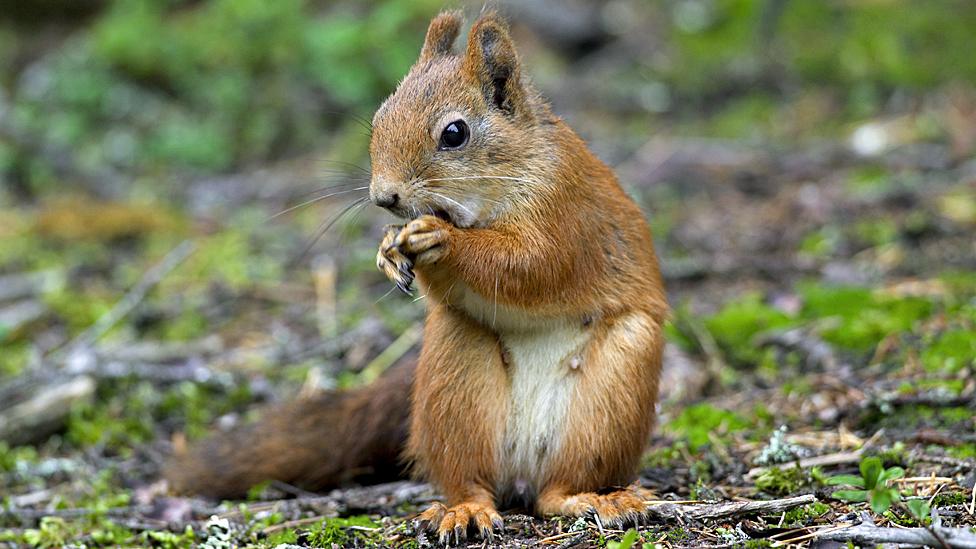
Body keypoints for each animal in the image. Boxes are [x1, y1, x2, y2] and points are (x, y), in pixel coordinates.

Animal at [170, 9, 672, 544]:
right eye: (379, 117)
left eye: (454, 134)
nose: (383, 197)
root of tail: (523, 475)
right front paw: (388, 249)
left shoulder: (565, 214)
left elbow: (530, 265)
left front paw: (444, 241)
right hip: (453, 377)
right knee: (470, 479)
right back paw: (465, 510)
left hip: (616, 387)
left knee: (557, 489)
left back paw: (595, 498)